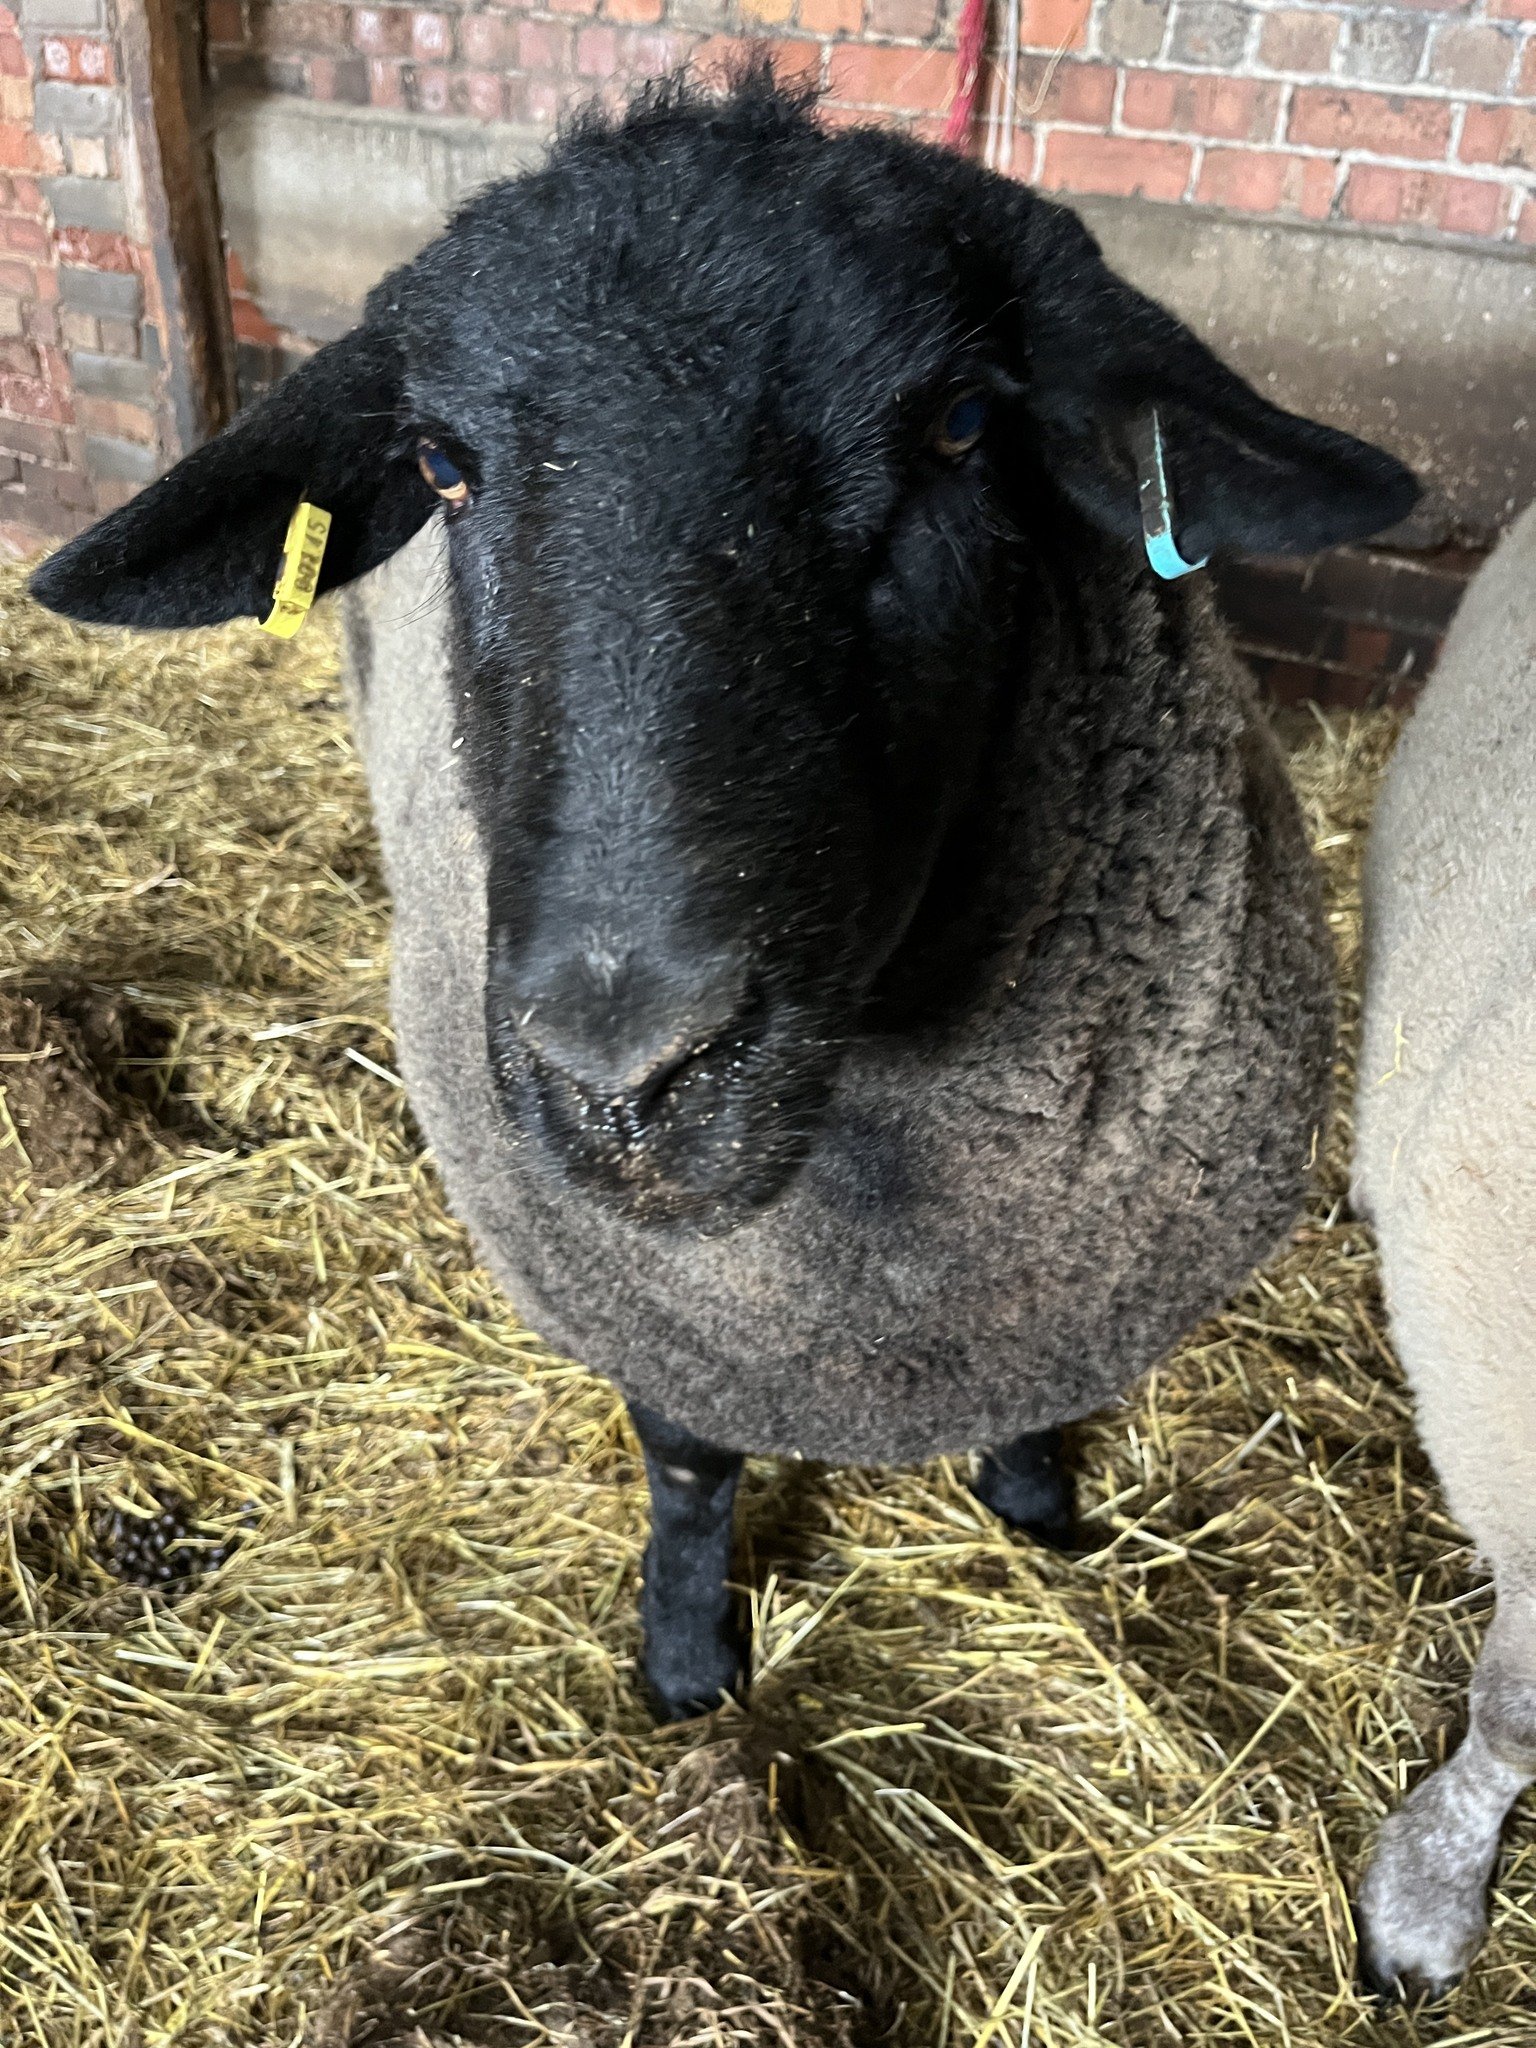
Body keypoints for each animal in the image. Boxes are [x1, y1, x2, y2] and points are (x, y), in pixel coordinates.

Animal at [30, 70, 1418, 1720]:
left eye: (961, 425)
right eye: (438, 465)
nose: (628, 1077)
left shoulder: (1071, 1297)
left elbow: (1040, 1403)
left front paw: (1038, 1513)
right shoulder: (645, 1302)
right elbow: (690, 1466)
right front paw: (689, 1661)